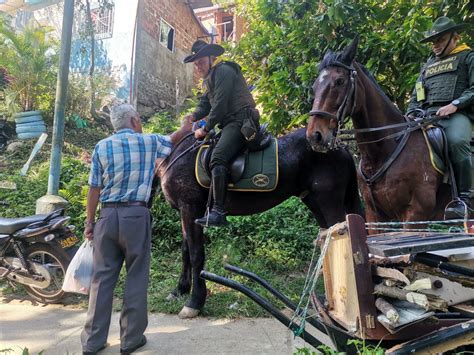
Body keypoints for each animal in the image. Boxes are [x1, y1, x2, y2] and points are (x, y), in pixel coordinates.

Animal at [157, 126, 362, 320]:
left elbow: (196, 254)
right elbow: (185, 252)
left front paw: (194, 302)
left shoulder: (190, 209)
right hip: (314, 202)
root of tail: (339, 146)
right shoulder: (187, 213)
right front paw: (179, 290)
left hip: (329, 202)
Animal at [308, 38, 448, 228]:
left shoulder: (416, 215)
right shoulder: (375, 216)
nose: (314, 135)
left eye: (339, 81)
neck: (383, 152)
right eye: (315, 86)